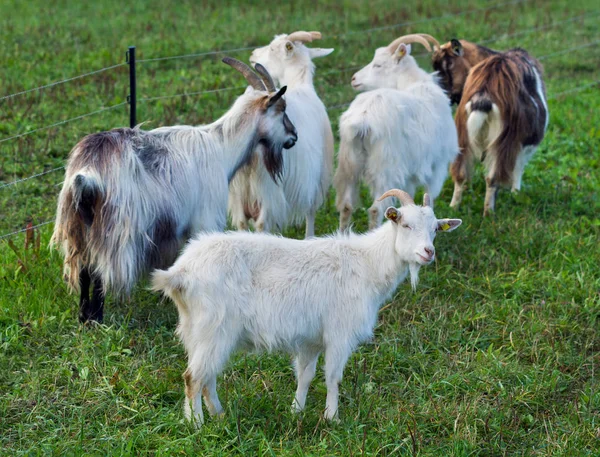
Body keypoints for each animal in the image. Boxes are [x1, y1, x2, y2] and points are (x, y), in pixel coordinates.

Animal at [49, 57, 298, 322]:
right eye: (282, 109)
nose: (294, 136)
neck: (221, 148)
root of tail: (87, 172)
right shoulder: (206, 219)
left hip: (78, 224)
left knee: (84, 269)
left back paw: (83, 317)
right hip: (113, 230)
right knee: (98, 270)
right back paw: (96, 318)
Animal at [152, 188, 462, 424]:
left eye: (435, 229)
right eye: (405, 224)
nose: (428, 252)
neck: (368, 264)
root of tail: (181, 272)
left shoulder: (310, 339)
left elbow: (305, 375)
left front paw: (296, 410)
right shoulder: (339, 333)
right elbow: (333, 377)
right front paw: (332, 418)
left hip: (197, 331)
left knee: (208, 376)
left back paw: (219, 414)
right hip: (215, 328)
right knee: (194, 377)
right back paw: (198, 424)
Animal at [227, 30, 336, 237]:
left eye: (272, 48)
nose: (253, 54)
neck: (300, 85)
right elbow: (311, 212)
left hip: (243, 195)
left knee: (243, 225)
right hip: (268, 191)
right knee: (262, 224)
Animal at [332, 33, 460, 230]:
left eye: (378, 65)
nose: (353, 79)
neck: (414, 83)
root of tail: (362, 120)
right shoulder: (436, 164)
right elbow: (430, 195)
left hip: (349, 164)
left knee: (346, 206)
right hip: (385, 168)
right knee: (375, 209)